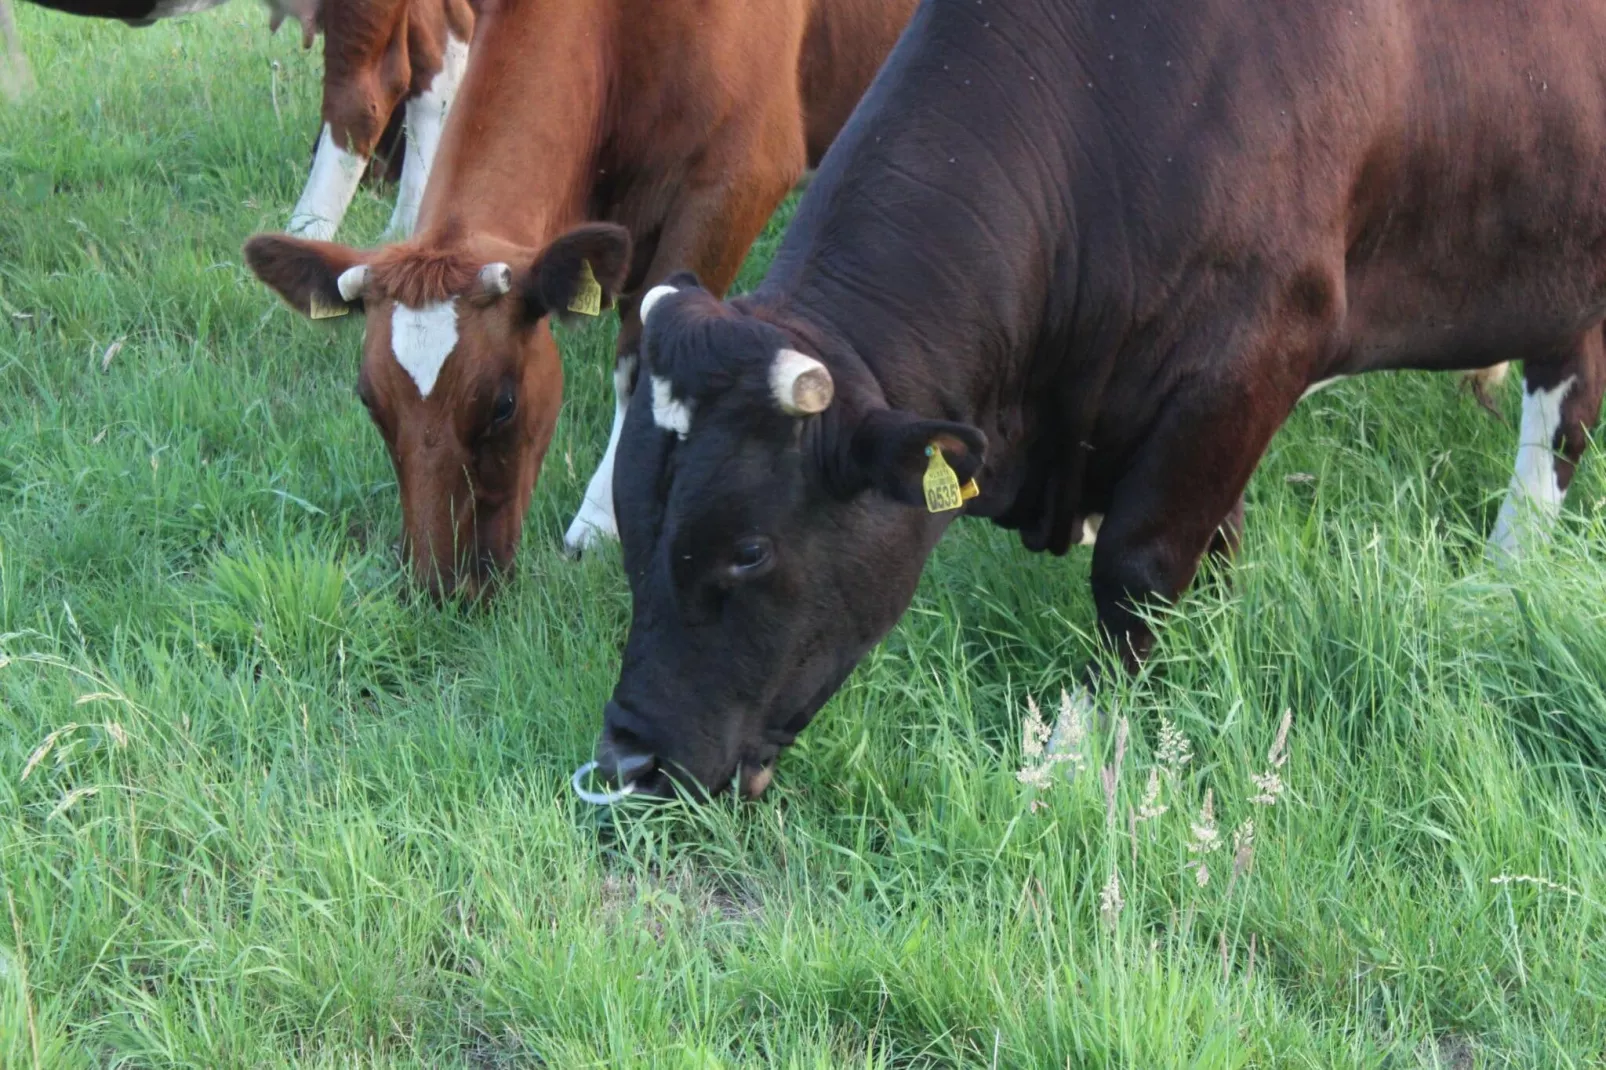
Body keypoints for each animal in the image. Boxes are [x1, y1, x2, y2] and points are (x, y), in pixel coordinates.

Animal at [237, 0, 918, 594]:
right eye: (369, 400)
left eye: (504, 405)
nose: (440, 585)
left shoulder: (737, 179)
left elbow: (647, 356)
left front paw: (601, 520)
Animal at [584, 0, 1606, 800]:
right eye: (632, 523)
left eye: (750, 550)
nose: (628, 760)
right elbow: (1214, 549)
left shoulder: (1250, 358)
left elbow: (1137, 571)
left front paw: (1103, 733)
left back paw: (1507, 568)